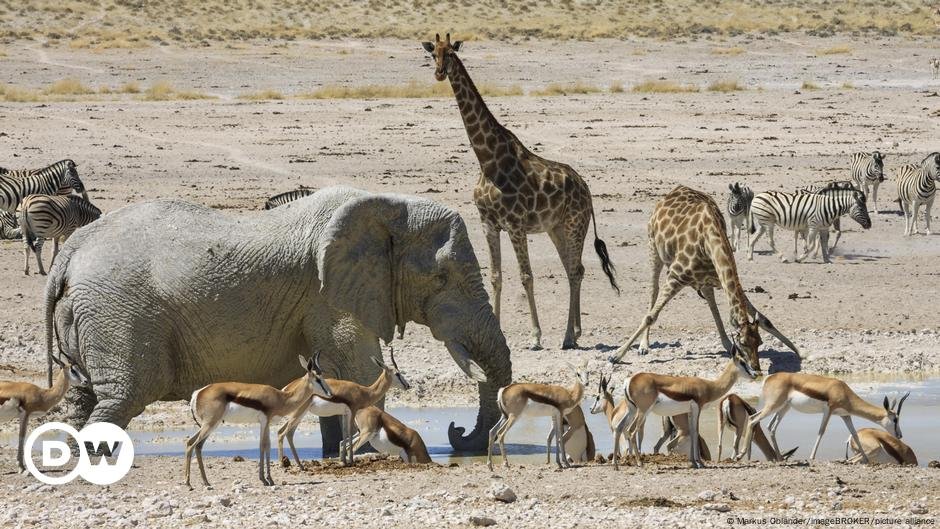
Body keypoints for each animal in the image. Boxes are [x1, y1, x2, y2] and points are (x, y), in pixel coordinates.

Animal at [44, 185, 510, 450]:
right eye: (441, 278)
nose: (458, 434)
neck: (389, 205)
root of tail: (71, 250)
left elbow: (334, 375)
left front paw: (336, 453)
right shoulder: (331, 294)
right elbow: (359, 370)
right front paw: (365, 453)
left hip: (91, 314)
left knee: (85, 397)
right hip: (118, 314)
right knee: (124, 395)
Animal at [420, 32, 616, 346]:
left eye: (450, 53)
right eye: (432, 53)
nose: (439, 73)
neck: (488, 161)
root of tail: (586, 189)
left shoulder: (515, 224)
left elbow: (526, 275)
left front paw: (536, 336)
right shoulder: (488, 223)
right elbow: (496, 276)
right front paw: (497, 330)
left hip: (576, 224)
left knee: (575, 270)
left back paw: (567, 337)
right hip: (555, 228)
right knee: (574, 269)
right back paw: (574, 332)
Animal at [604, 188, 796, 366]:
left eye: (759, 343)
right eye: (742, 343)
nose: (755, 367)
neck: (709, 242)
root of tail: (672, 192)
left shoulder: (719, 277)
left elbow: (764, 318)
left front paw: (796, 350)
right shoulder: (675, 277)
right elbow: (650, 317)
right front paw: (616, 355)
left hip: (703, 279)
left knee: (710, 300)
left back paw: (726, 344)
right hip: (653, 248)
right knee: (653, 291)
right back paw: (644, 346)